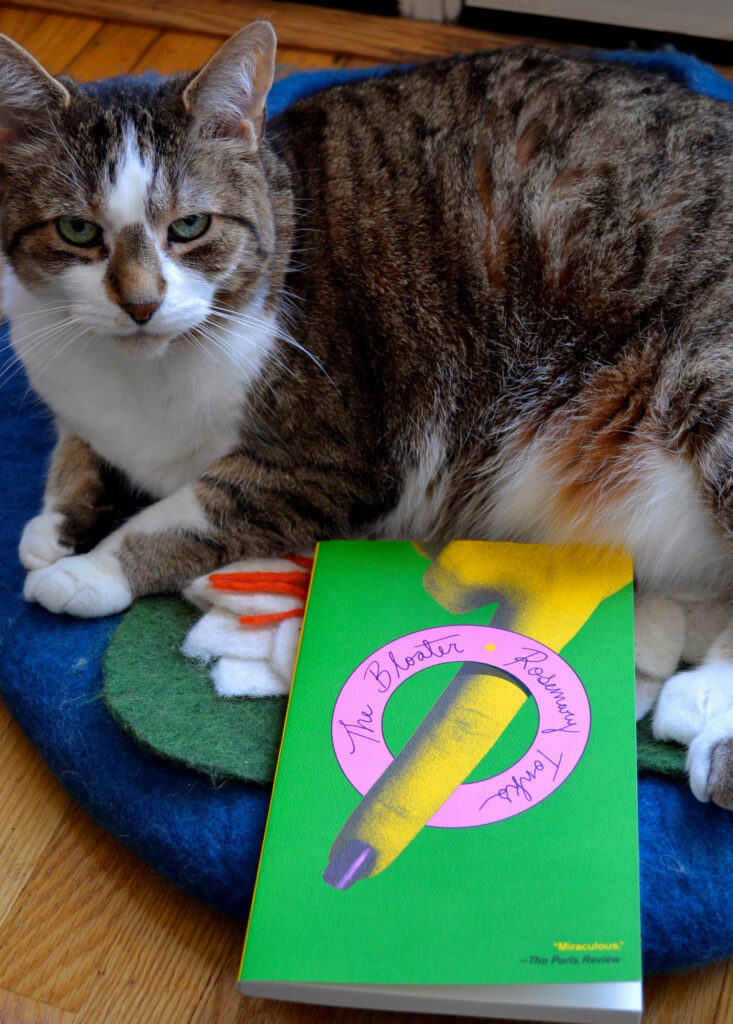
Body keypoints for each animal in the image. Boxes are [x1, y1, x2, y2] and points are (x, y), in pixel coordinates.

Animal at [1, 25, 733, 806]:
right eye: (78, 231)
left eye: (190, 227)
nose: (141, 305)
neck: (139, 374)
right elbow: (75, 447)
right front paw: (55, 525)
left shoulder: (325, 462)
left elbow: (185, 515)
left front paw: (88, 571)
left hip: (707, 395)